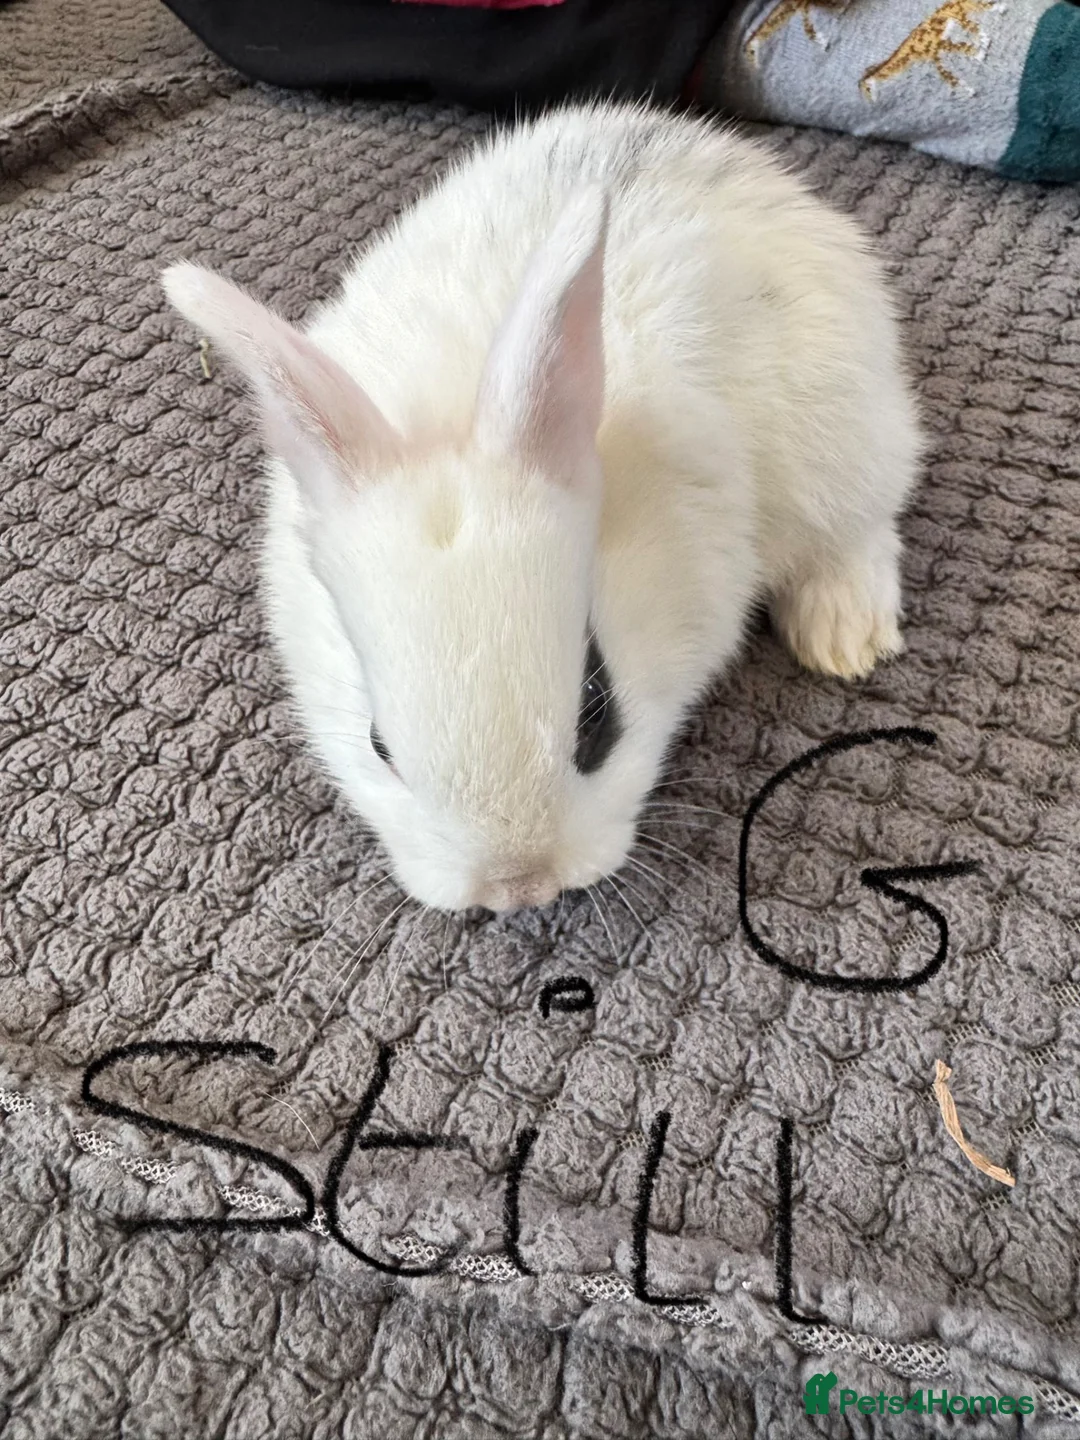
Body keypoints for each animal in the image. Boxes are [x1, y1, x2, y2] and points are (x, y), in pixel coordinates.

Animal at [163, 101, 922, 914]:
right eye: (377, 745)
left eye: (598, 709)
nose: (520, 886)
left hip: (843, 435)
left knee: (865, 525)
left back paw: (844, 637)